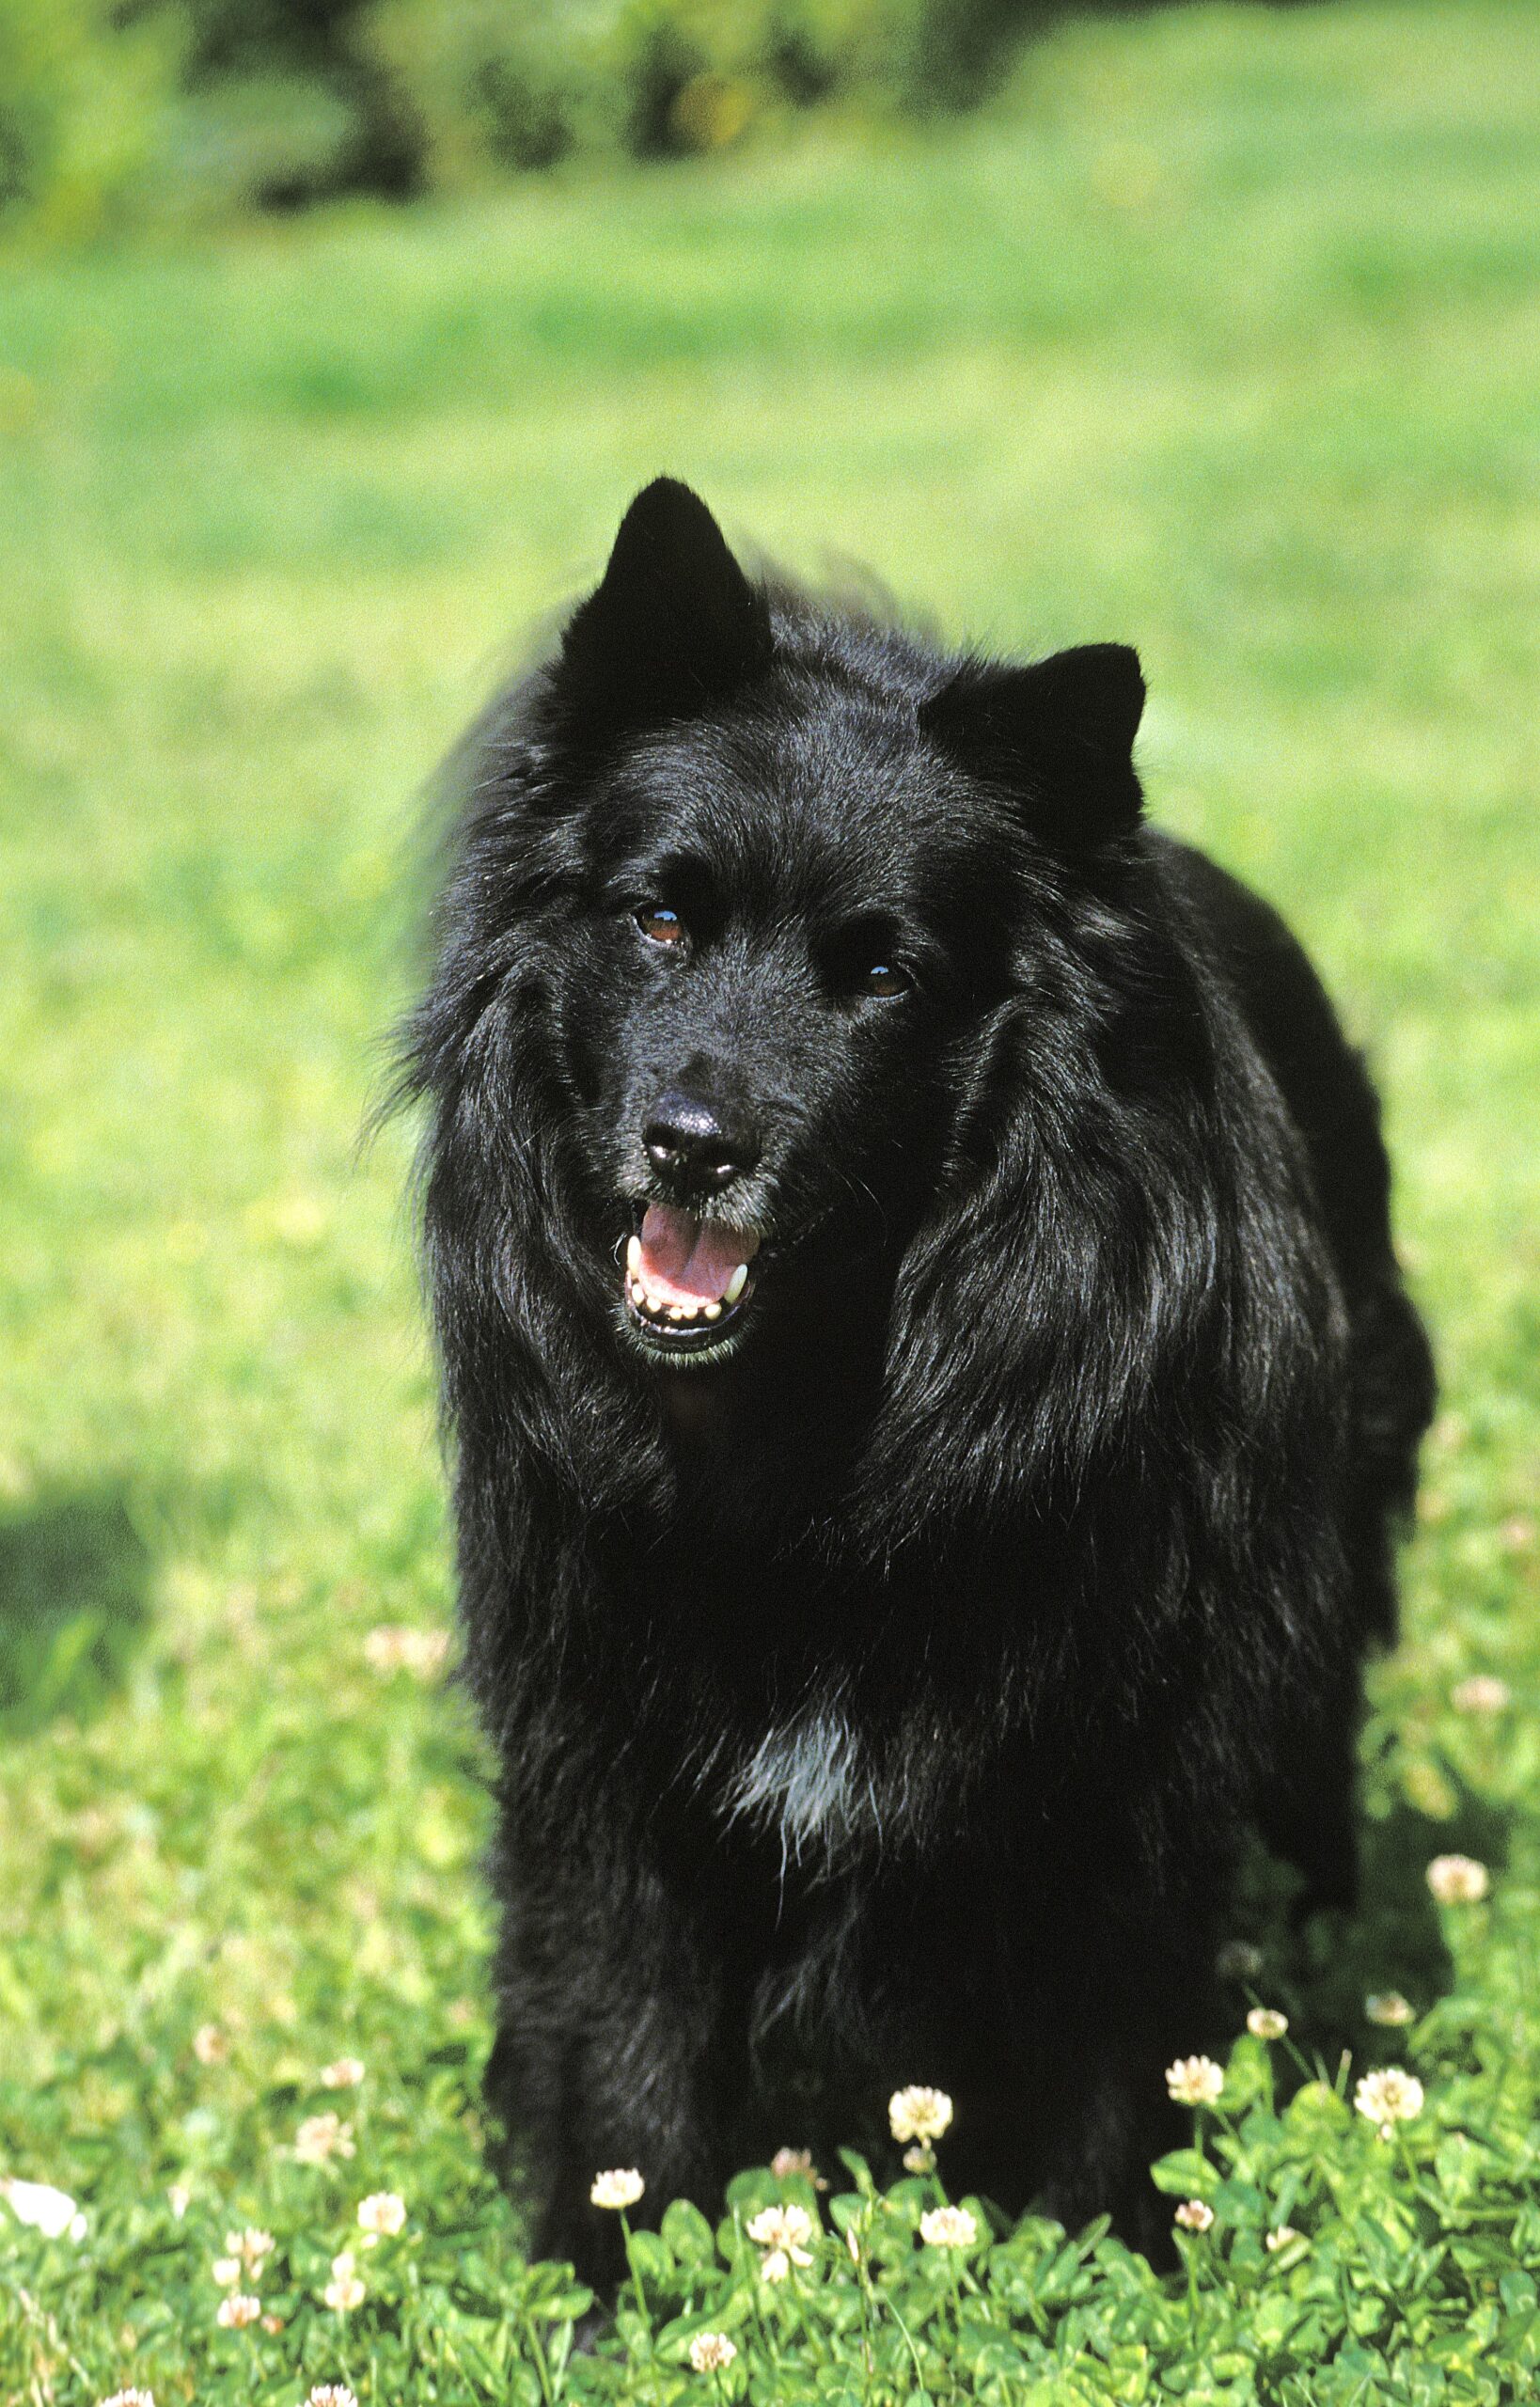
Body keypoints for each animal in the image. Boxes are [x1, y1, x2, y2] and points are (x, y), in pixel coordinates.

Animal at [403, 474, 1434, 2272]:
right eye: (658, 918)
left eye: (881, 973)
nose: (691, 1145)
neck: (821, 1422)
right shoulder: (606, 1768)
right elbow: (623, 2075)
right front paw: (609, 2300)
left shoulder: (1117, 1773)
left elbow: (1107, 2074)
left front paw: (1106, 2278)